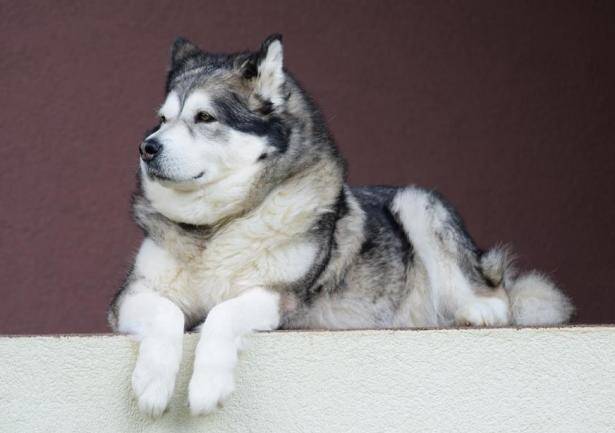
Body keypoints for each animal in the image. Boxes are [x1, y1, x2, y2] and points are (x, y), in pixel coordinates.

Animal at [108, 35, 576, 416]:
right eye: (163, 119)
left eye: (205, 118)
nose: (146, 148)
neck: (219, 225)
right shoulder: (130, 298)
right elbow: (167, 312)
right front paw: (153, 383)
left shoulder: (279, 296)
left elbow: (223, 313)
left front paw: (207, 385)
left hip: (417, 201)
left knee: (495, 294)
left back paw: (478, 309)